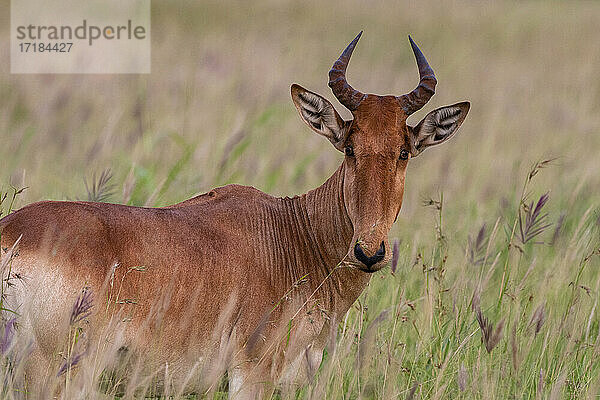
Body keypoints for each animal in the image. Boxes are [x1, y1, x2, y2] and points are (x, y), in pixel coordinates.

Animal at [0, 32, 468, 398]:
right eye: (350, 147)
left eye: (404, 151)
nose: (369, 252)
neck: (291, 235)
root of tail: (13, 238)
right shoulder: (252, 376)